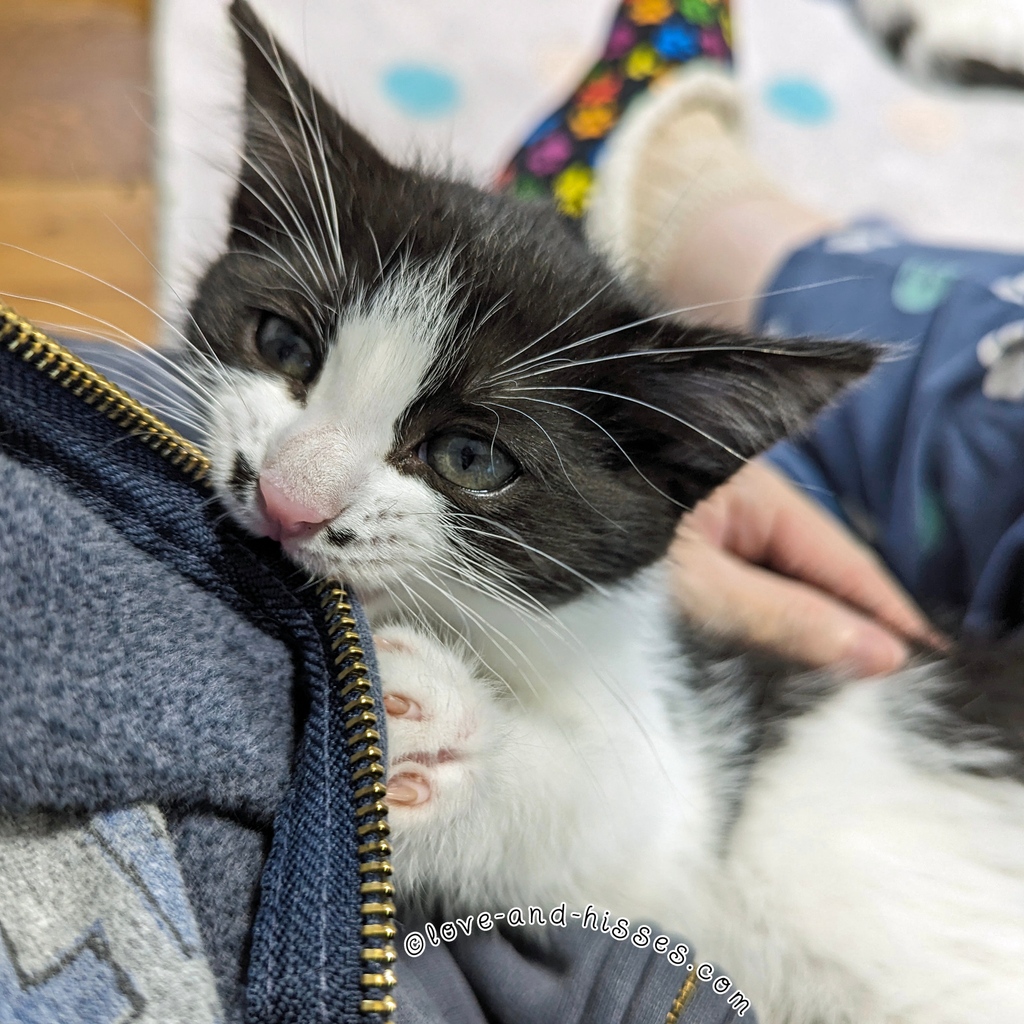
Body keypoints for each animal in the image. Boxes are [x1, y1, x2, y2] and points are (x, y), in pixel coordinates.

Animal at [188, 2, 1024, 1024]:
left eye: (470, 458)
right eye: (281, 343)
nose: (288, 497)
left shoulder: (685, 802)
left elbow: (622, 816)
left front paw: (433, 734)